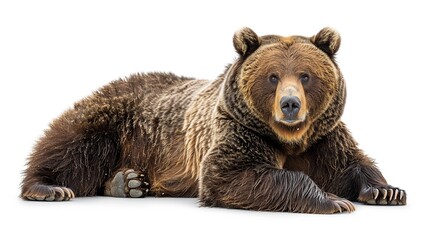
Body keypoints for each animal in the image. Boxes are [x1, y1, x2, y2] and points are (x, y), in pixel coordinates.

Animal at [22, 27, 404, 213]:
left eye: (306, 75)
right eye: (273, 76)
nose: (290, 105)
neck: (289, 138)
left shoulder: (323, 137)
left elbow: (350, 163)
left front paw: (387, 190)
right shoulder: (236, 130)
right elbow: (231, 175)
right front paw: (333, 200)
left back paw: (127, 182)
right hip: (114, 118)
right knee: (70, 147)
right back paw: (48, 188)